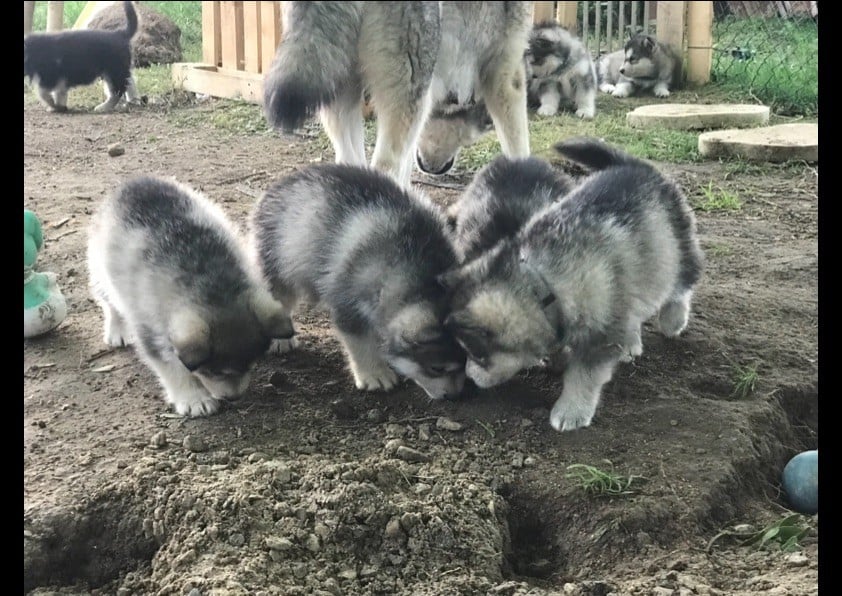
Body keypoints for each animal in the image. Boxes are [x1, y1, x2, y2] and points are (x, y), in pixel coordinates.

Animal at [87, 175, 294, 416]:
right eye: (213, 372)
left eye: (251, 364)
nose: (234, 397)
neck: (212, 283)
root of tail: (134, 182)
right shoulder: (151, 331)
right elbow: (173, 368)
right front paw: (194, 398)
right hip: (100, 269)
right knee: (109, 302)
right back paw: (117, 330)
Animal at [253, 163, 470, 400]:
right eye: (436, 368)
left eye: (468, 364)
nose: (456, 396)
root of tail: (280, 183)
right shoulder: (349, 303)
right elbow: (360, 342)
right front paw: (374, 373)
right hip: (278, 263)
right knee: (279, 296)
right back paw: (281, 337)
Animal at [260, 1, 532, 186]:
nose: (436, 169)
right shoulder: (507, 75)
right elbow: (520, 148)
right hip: (411, 97)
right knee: (384, 166)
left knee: (350, 161)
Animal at [440, 137, 704, 430]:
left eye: (477, 356)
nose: (469, 378)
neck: (542, 285)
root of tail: (634, 166)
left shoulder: (599, 332)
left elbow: (584, 375)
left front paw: (571, 411)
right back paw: (631, 341)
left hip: (676, 242)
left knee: (681, 284)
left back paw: (673, 319)